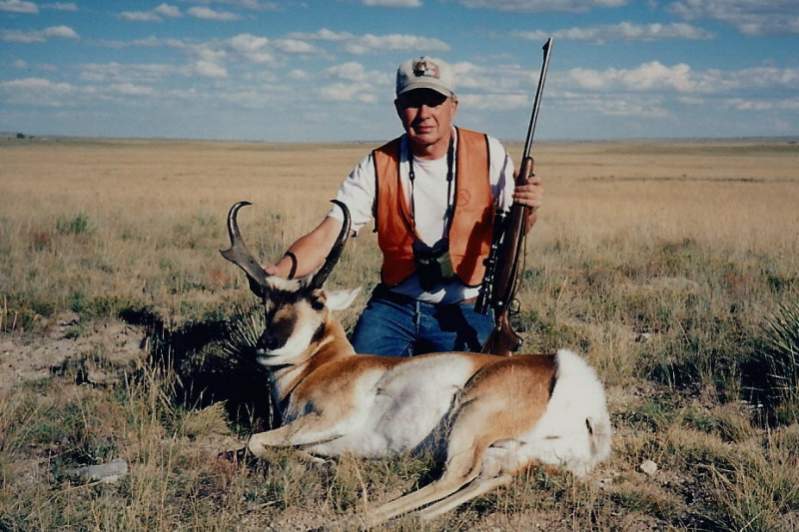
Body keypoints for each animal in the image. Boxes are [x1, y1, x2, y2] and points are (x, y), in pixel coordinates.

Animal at [219, 201, 612, 528]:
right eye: (267, 302)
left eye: (317, 302)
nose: (269, 344)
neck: (324, 365)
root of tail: (562, 371)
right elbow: (254, 446)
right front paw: (320, 463)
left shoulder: (331, 418)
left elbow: (254, 441)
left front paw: (322, 466)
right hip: (509, 452)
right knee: (489, 477)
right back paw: (414, 516)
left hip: (470, 419)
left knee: (456, 474)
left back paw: (364, 515)